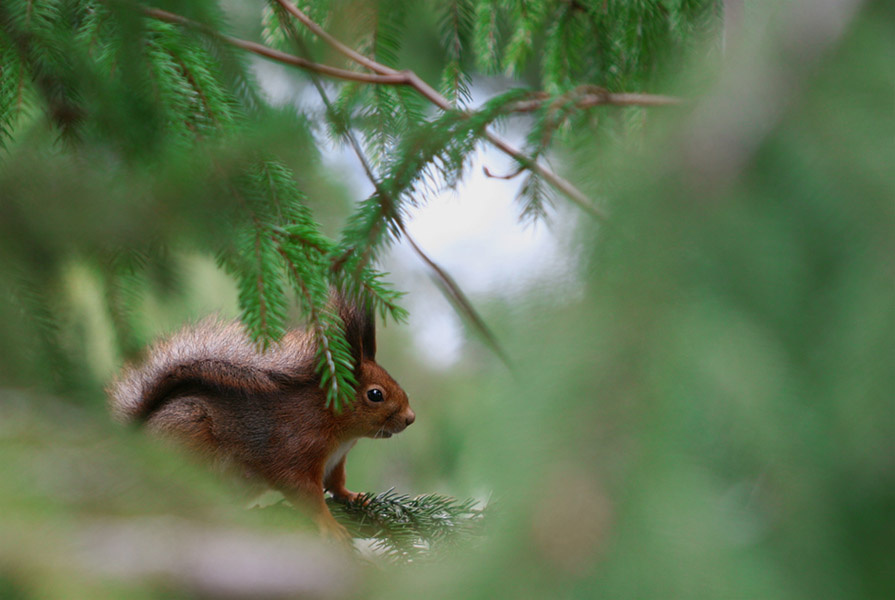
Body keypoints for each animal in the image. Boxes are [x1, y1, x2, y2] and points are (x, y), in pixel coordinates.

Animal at [107, 298, 415, 542]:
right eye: (375, 394)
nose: (410, 418)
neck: (337, 427)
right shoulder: (295, 448)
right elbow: (305, 493)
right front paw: (328, 524)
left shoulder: (335, 461)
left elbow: (336, 484)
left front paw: (354, 496)